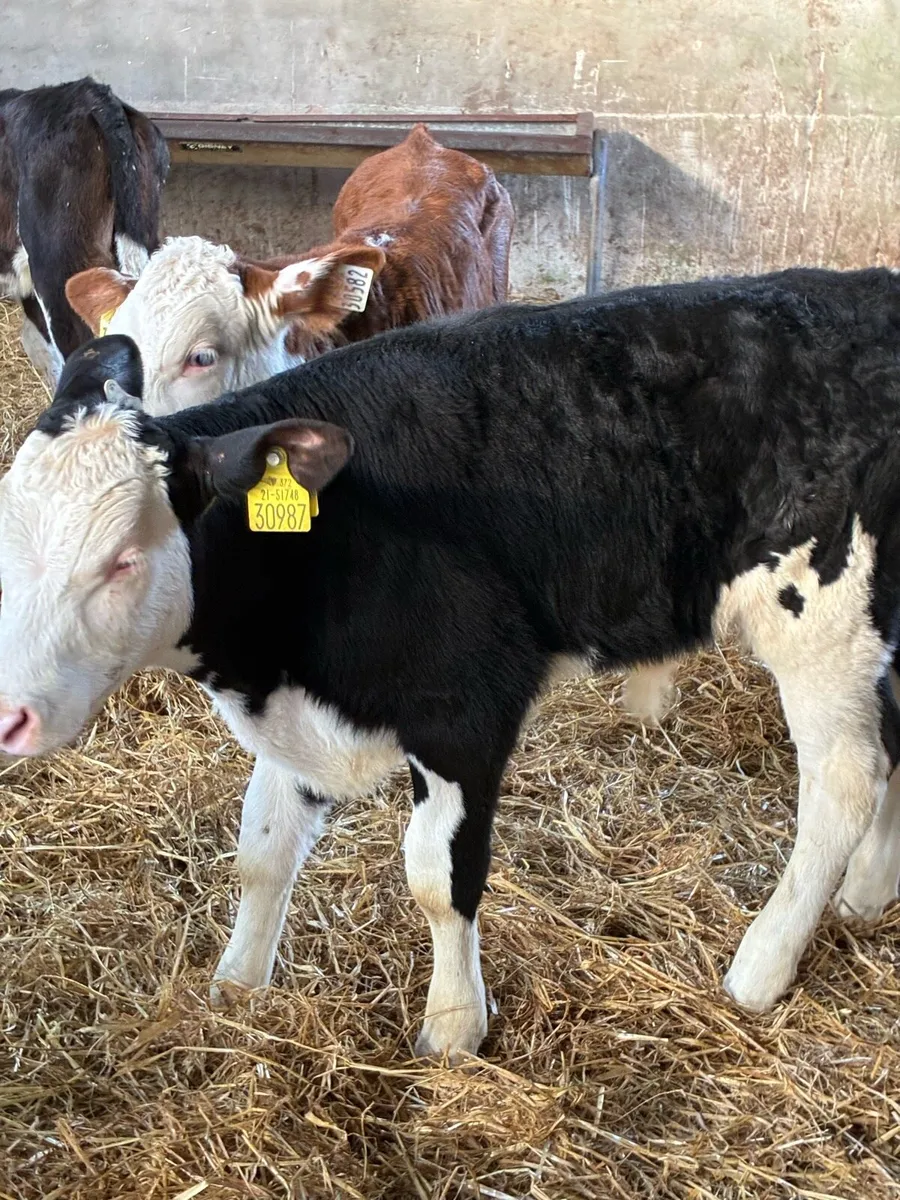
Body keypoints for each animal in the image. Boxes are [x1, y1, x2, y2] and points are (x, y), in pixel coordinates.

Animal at [2, 267, 900, 1063]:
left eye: (122, 558)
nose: (10, 714)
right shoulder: (299, 712)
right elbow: (262, 849)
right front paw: (237, 988)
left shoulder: (465, 709)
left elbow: (439, 877)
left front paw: (454, 1028)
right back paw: (867, 892)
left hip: (824, 626)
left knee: (845, 784)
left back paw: (760, 967)